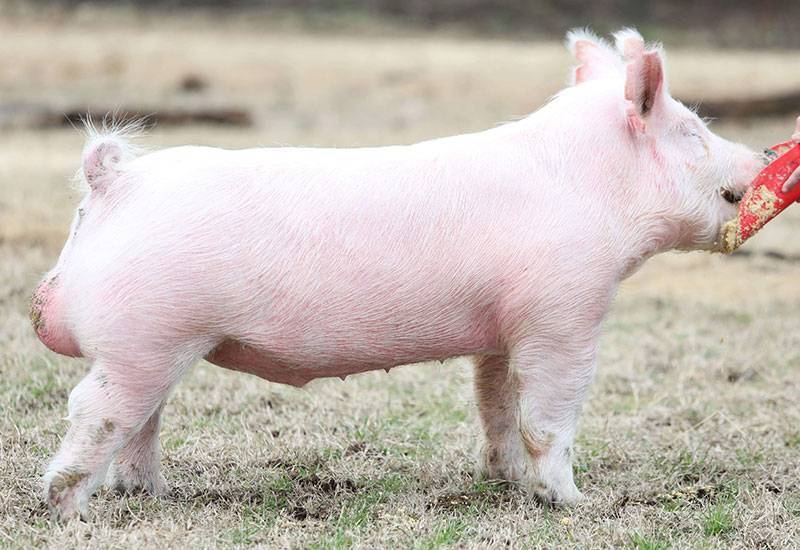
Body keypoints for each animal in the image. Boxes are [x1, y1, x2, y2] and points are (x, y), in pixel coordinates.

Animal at [32, 28, 762, 521]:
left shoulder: (501, 330)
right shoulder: (566, 312)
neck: (592, 189)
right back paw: (70, 510)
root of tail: (115, 182)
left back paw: (154, 493)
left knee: (141, 420)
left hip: (152, 344)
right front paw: (575, 502)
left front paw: (505, 484)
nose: (758, 159)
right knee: (96, 409)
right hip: (145, 338)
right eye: (692, 130)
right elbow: (549, 415)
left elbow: (497, 405)